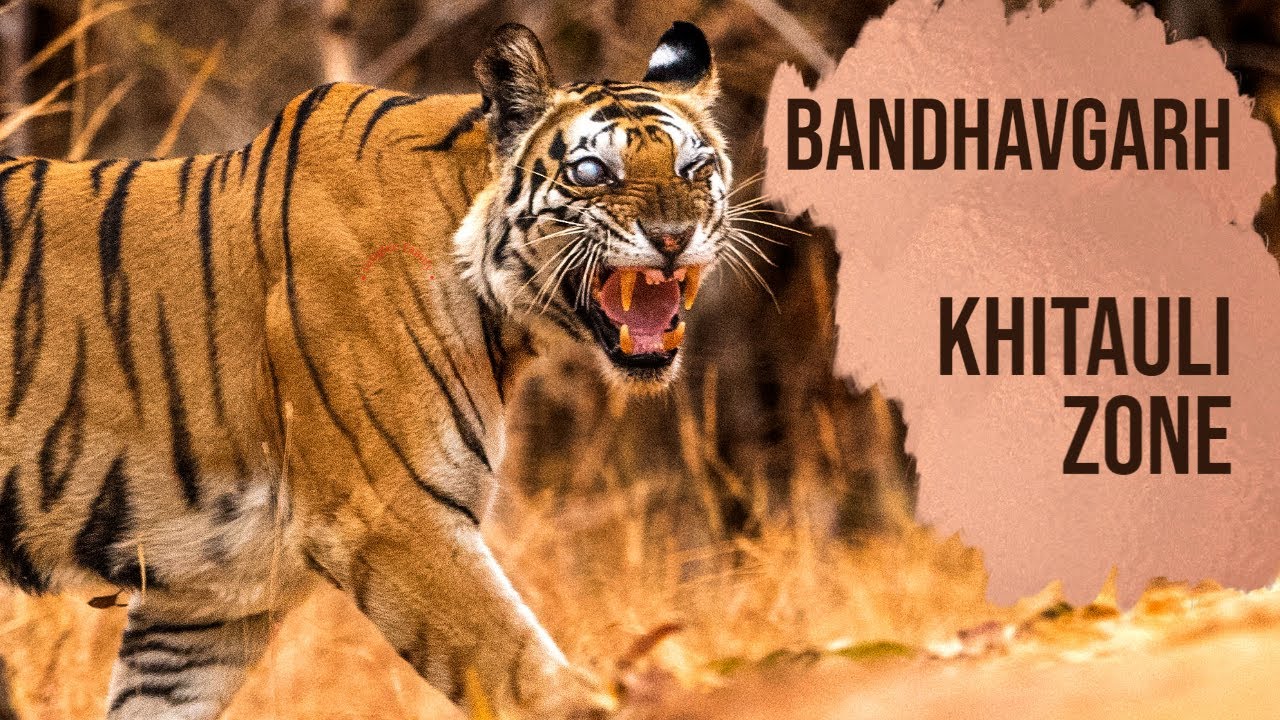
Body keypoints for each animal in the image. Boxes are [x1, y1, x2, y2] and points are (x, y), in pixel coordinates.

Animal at [0, 20, 732, 720]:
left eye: (696, 167)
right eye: (591, 171)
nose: (674, 237)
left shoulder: (208, 601)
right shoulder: (388, 514)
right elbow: (535, 682)